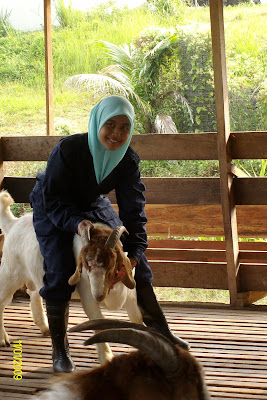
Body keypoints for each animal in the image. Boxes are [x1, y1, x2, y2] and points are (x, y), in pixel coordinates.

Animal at [0, 192, 143, 364]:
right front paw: (107, 358)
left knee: (34, 293)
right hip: (10, 273)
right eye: (86, 265)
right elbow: (97, 321)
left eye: (112, 263)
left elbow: (136, 318)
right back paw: (3, 338)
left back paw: (45, 327)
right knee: (2, 300)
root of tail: (13, 223)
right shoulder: (87, 295)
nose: (99, 295)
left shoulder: (130, 293)